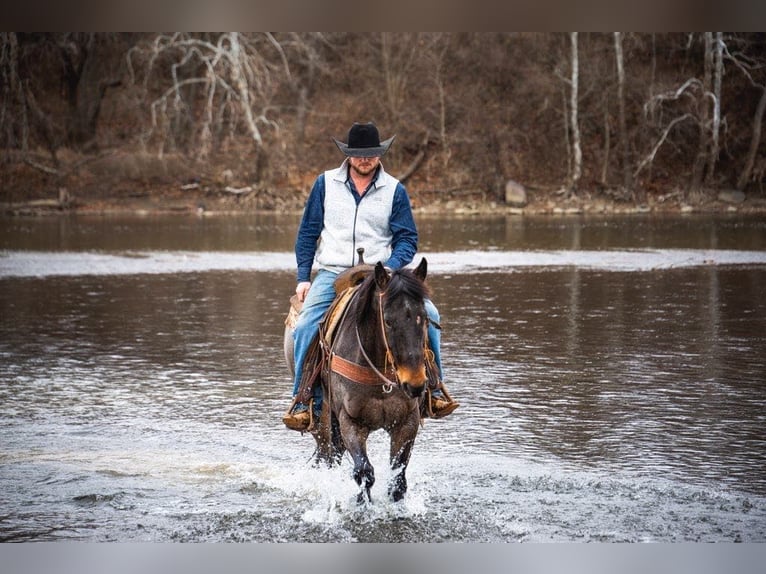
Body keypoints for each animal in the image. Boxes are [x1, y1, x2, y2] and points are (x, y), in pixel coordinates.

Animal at [284, 258, 436, 504]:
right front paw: (362, 503)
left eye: (424, 318)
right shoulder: (351, 421)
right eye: (388, 321)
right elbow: (364, 471)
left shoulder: (407, 421)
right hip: (321, 421)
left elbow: (398, 477)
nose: (414, 383)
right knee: (327, 455)